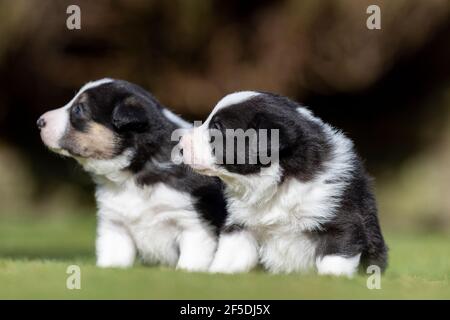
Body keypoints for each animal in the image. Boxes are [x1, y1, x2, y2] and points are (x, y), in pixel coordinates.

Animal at [37, 79, 229, 272]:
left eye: (79, 109)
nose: (39, 122)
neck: (133, 174)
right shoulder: (115, 227)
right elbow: (112, 261)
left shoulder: (194, 226)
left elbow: (188, 264)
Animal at [179, 91, 386, 276]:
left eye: (217, 127)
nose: (180, 143)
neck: (279, 182)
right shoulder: (242, 224)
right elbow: (229, 256)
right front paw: (215, 275)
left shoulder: (341, 220)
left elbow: (335, 260)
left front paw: (331, 281)